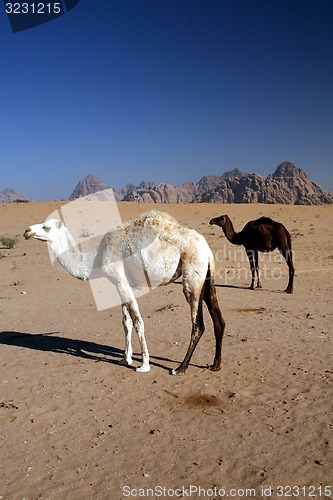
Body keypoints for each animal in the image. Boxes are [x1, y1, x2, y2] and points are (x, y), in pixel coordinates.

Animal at [24, 211, 226, 376]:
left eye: (47, 227)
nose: (27, 231)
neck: (96, 259)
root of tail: (206, 249)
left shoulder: (121, 281)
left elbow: (138, 322)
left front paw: (144, 365)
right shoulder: (121, 284)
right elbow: (126, 322)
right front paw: (125, 359)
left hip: (192, 273)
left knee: (198, 324)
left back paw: (180, 368)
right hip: (207, 277)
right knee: (219, 320)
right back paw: (215, 365)